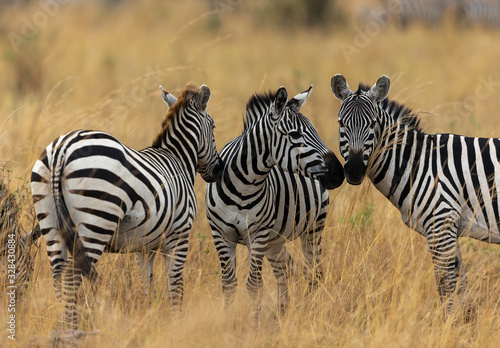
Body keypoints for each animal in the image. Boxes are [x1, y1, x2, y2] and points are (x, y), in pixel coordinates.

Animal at [32, 83, 224, 328]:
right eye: (214, 126)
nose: (218, 170)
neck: (178, 160)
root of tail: (61, 149)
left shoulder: (146, 244)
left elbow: (146, 283)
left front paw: (146, 316)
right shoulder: (179, 235)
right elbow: (175, 285)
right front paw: (177, 323)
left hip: (50, 222)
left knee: (59, 277)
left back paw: (68, 325)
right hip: (96, 221)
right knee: (72, 278)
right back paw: (74, 328)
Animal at [204, 85, 344, 320]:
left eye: (315, 131)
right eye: (295, 135)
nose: (339, 173)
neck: (243, 187)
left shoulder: (258, 234)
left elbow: (254, 285)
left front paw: (255, 323)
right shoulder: (221, 234)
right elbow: (229, 284)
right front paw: (229, 321)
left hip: (313, 228)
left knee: (313, 272)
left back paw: (309, 310)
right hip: (275, 240)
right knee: (286, 269)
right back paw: (283, 310)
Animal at [332, 75, 500, 320]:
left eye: (372, 124)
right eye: (341, 124)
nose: (353, 171)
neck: (418, 164)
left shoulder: (441, 223)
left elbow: (446, 285)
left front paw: (447, 325)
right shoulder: (449, 228)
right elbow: (460, 286)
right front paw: (465, 324)